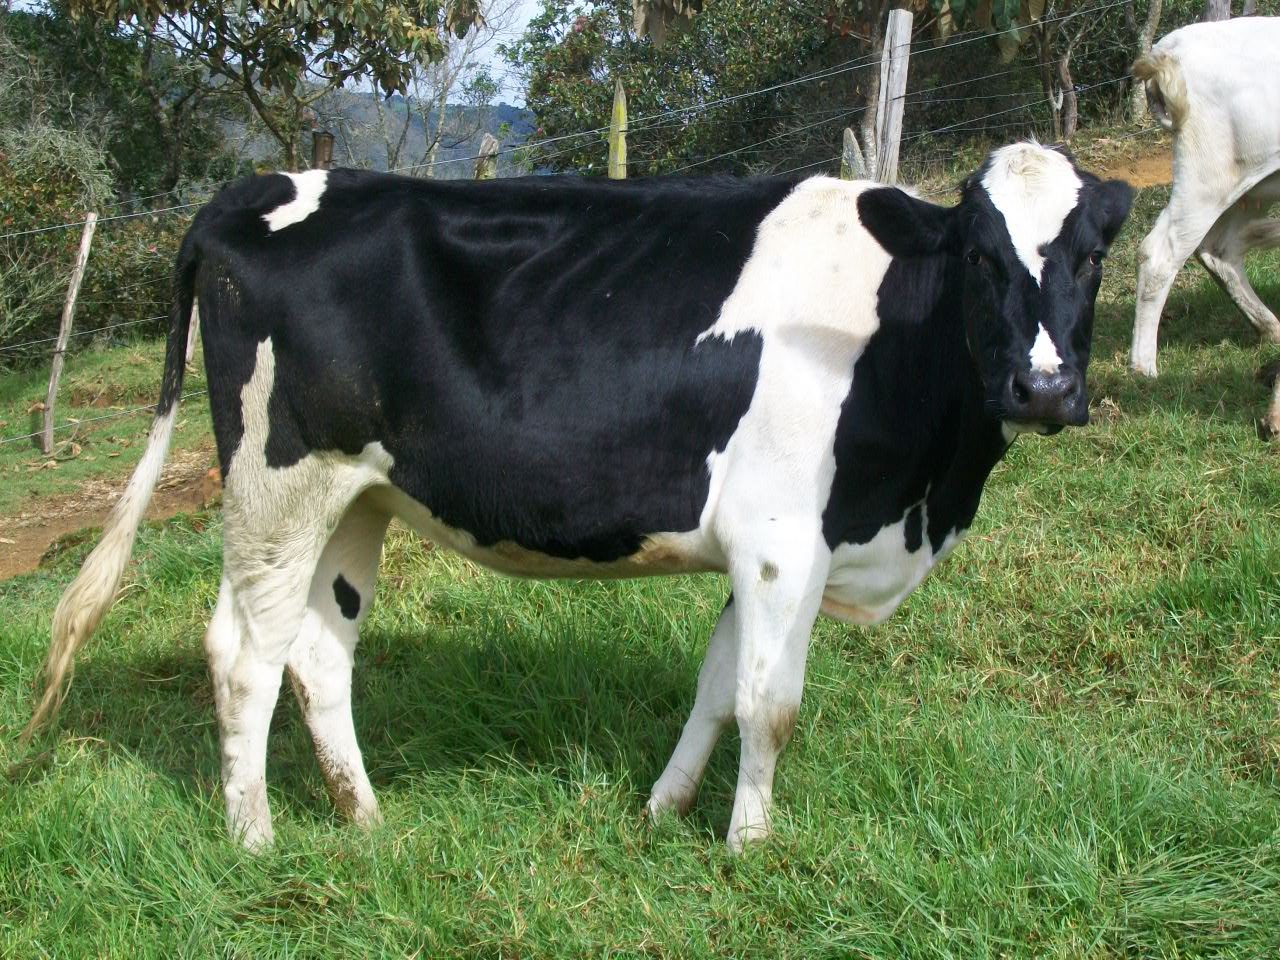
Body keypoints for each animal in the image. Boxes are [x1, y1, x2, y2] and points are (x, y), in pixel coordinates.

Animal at [23, 142, 1132, 852]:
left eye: (1090, 256)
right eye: (980, 255)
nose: (1043, 388)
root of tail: (262, 184)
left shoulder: (762, 549)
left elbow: (714, 686)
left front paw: (663, 811)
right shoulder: (784, 541)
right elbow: (766, 704)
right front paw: (749, 848)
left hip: (355, 498)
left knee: (317, 654)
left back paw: (366, 823)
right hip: (277, 480)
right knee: (243, 654)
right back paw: (253, 840)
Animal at [1130, 17, 1280, 391]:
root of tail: (1170, 46)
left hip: (1251, 188)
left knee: (1219, 250)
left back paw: (1270, 327)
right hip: (1207, 177)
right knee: (1159, 255)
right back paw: (1143, 367)